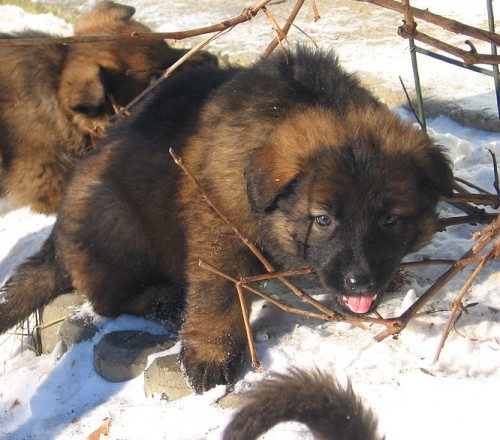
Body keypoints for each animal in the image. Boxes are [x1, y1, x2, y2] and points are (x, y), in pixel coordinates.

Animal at [0, 46, 454, 394]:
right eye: (323, 219)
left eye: (390, 219)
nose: (361, 282)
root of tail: (56, 239)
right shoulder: (217, 224)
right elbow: (219, 293)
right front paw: (211, 353)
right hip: (115, 216)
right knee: (109, 297)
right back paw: (165, 300)